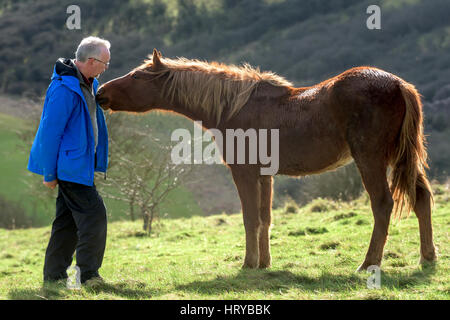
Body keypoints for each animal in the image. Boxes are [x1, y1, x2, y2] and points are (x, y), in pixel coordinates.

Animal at [97, 49, 436, 270]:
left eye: (136, 75)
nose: (101, 93)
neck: (235, 106)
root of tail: (398, 84)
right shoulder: (265, 175)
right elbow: (265, 219)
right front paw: (264, 263)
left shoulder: (244, 172)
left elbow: (250, 218)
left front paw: (248, 264)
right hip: (403, 159)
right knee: (421, 199)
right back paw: (427, 257)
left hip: (371, 160)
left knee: (383, 205)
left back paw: (369, 263)